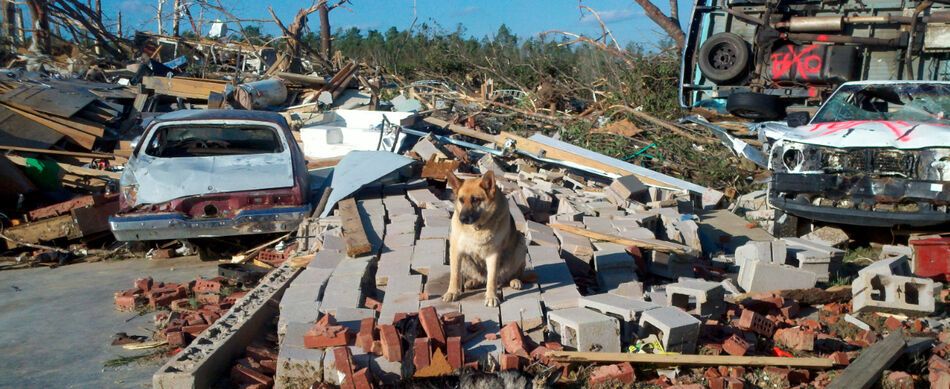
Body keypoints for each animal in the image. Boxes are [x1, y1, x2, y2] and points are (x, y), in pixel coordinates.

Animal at [444, 171, 528, 306]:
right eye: (461, 200)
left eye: (475, 200)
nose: (462, 219)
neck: (477, 228)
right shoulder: (456, 251)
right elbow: (455, 275)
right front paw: (452, 292)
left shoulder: (493, 255)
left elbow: (492, 278)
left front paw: (491, 297)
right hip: (466, 261)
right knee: (481, 278)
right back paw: (473, 281)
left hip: (521, 242)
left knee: (514, 273)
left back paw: (515, 280)